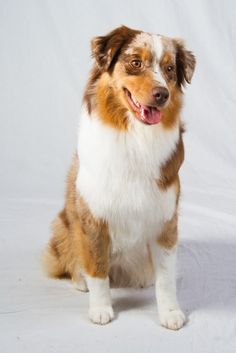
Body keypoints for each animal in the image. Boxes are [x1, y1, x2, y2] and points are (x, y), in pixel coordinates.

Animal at [43, 26, 195, 328]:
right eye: (135, 62)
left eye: (169, 69)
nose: (162, 94)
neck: (136, 137)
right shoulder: (93, 215)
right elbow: (98, 268)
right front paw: (101, 309)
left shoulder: (164, 219)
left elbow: (166, 278)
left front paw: (170, 312)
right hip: (65, 221)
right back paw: (80, 280)